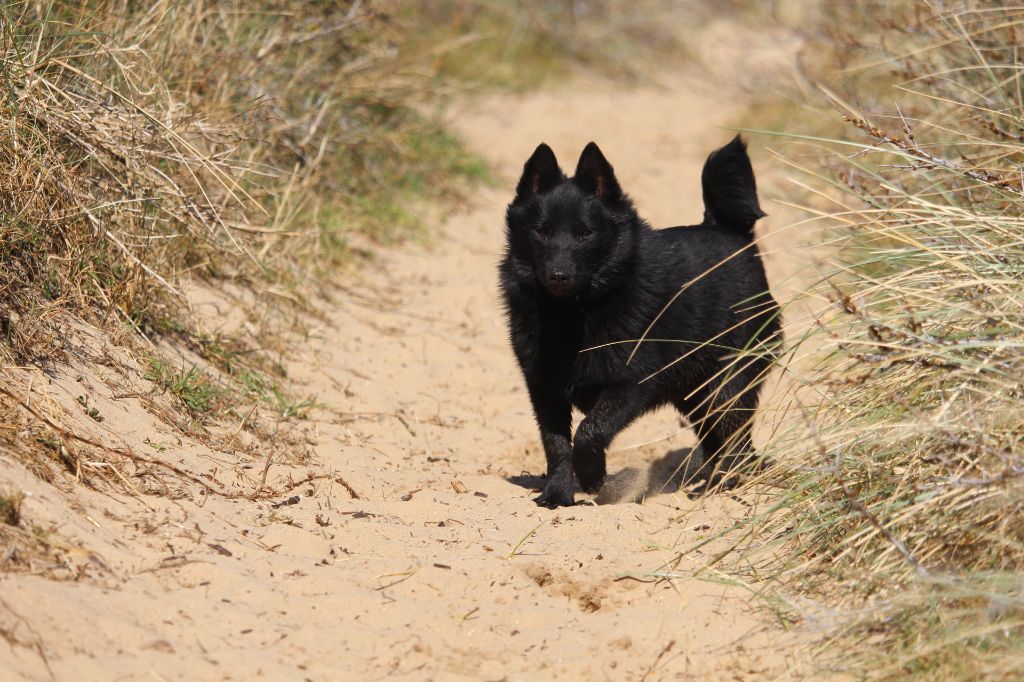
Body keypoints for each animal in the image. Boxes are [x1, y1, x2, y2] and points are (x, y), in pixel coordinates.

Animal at [499, 135, 778, 503]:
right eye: (541, 232)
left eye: (585, 233)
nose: (559, 276)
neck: (574, 313)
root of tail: (733, 234)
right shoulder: (543, 390)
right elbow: (556, 445)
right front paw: (557, 495)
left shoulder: (631, 385)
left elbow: (589, 432)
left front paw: (594, 479)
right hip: (695, 395)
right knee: (719, 441)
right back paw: (714, 483)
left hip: (727, 385)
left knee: (735, 437)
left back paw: (727, 485)